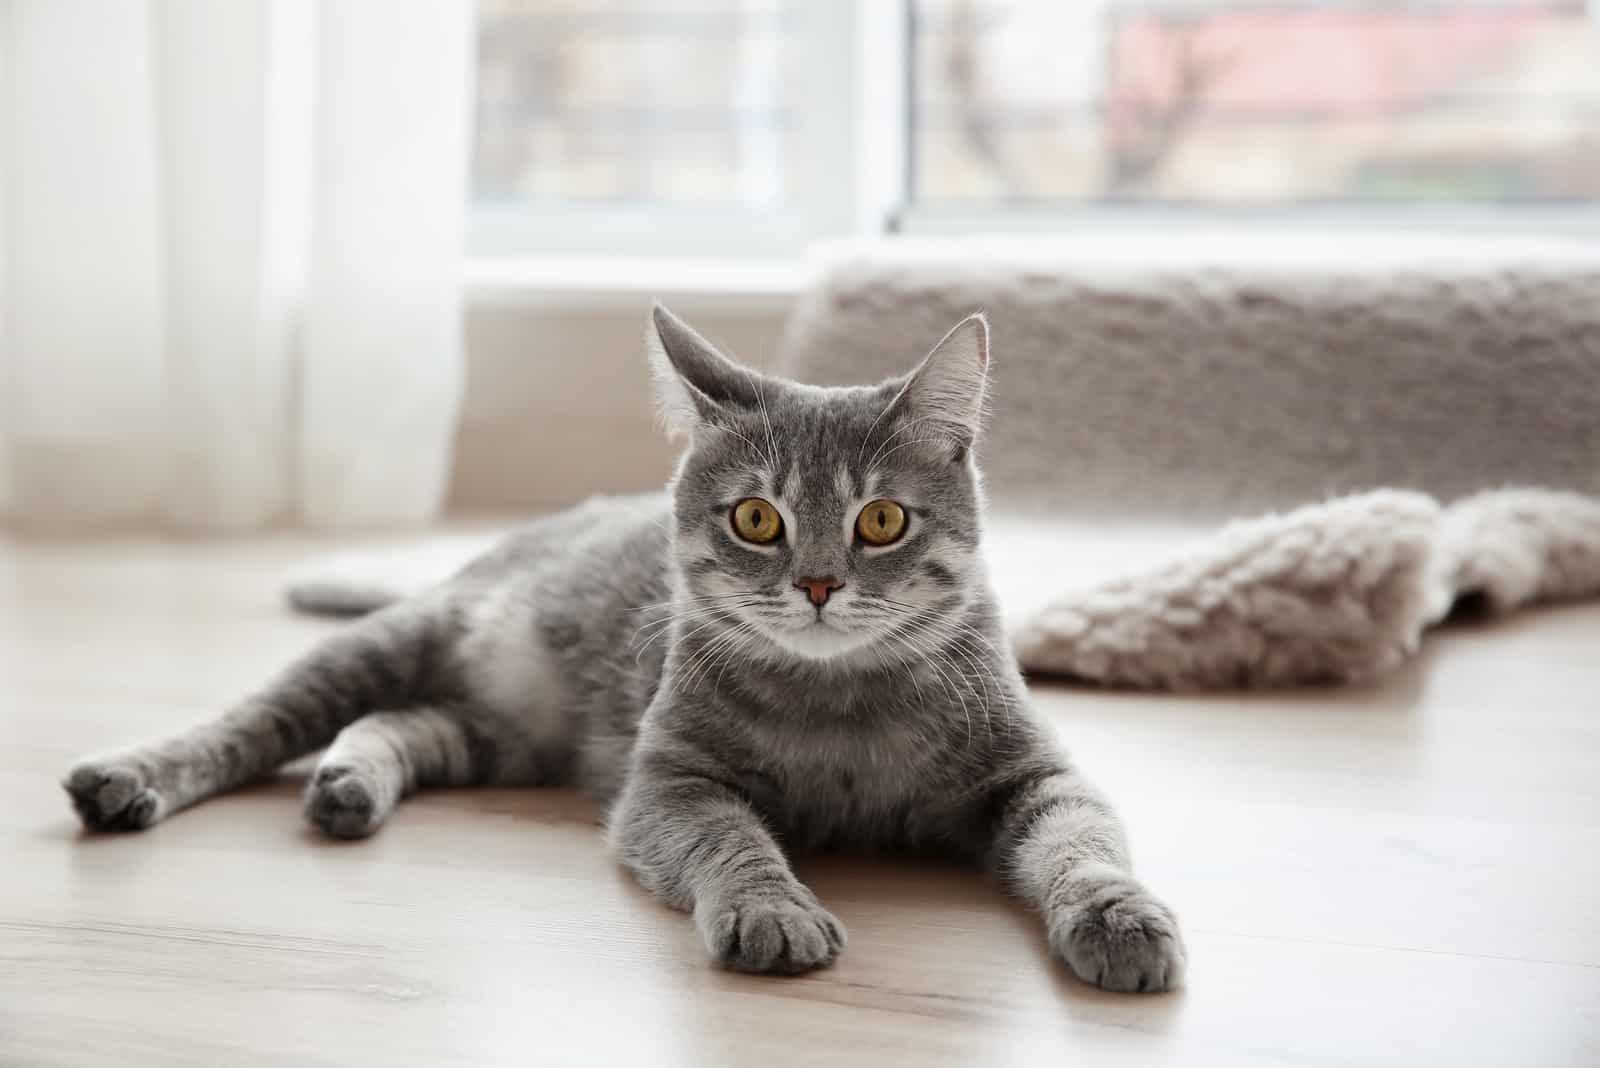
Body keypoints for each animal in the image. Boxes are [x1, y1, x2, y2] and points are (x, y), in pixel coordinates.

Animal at [59, 306, 1190, 991]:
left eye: (880, 521)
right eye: (755, 519)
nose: (818, 584)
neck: (842, 710)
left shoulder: (1034, 772)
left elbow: (1081, 842)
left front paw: (1120, 914)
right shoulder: (668, 784)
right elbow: (734, 841)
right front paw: (772, 910)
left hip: (504, 734)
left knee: (400, 724)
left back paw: (350, 783)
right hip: (388, 647)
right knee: (249, 722)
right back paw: (130, 776)